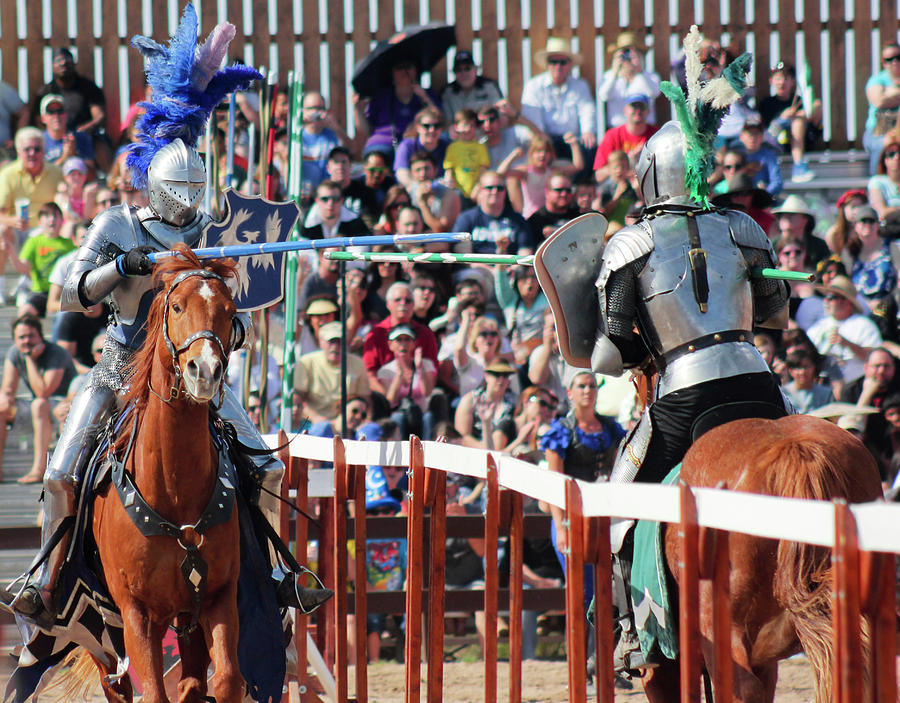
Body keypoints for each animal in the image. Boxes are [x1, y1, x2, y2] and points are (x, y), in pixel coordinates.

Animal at [79, 248, 241, 703]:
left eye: (229, 312)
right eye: (177, 306)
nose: (204, 370)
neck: (173, 486)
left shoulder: (219, 597)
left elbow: (225, 680)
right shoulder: (136, 613)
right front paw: (131, 259)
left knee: (192, 677)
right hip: (105, 631)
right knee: (116, 683)